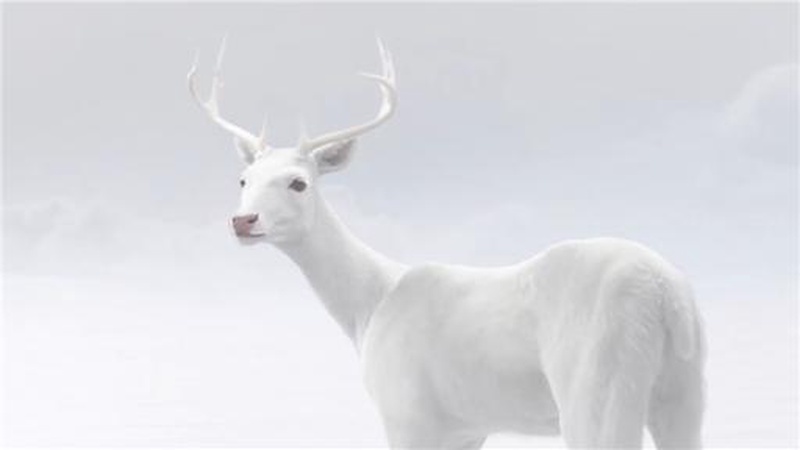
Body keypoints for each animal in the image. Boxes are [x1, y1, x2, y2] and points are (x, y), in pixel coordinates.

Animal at [188, 38, 706, 449]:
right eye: (243, 179)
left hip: (597, 382)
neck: (367, 307)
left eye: (298, 183)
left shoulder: (407, 412)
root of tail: (665, 297)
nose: (243, 220)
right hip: (686, 389)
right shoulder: (465, 427)